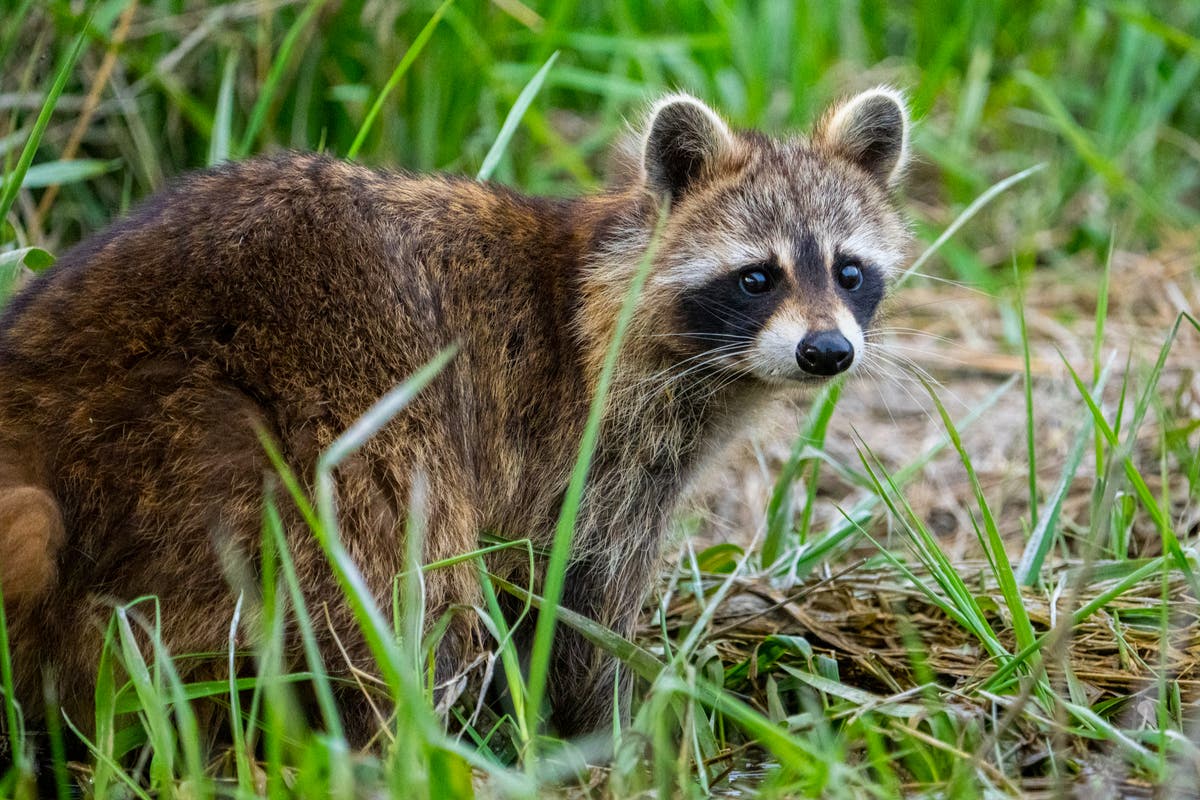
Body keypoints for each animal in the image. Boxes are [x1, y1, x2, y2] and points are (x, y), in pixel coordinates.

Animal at [0, 87, 907, 743]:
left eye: (848, 270)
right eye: (757, 277)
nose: (828, 351)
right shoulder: (589, 446)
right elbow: (572, 601)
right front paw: (615, 731)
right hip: (314, 424)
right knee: (409, 578)